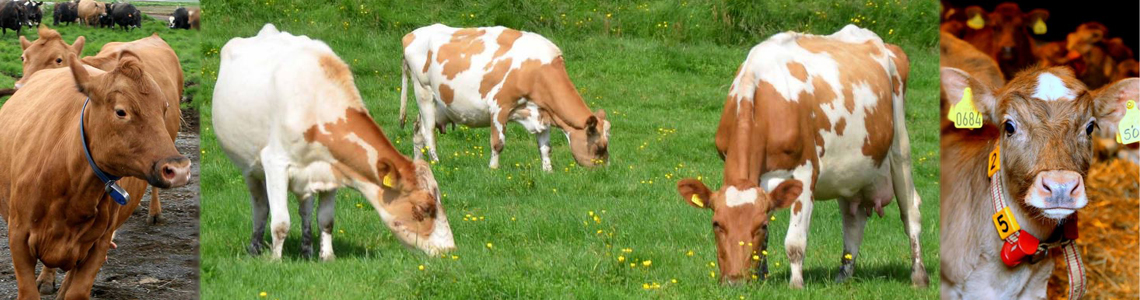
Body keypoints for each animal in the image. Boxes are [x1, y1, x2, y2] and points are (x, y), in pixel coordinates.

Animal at [0, 50, 190, 298]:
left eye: (164, 109)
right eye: (121, 111)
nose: (179, 169)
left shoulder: (99, 245)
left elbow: (76, 291)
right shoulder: (18, 237)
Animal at [214, 23, 453, 260]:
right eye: (424, 208)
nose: (449, 250)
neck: (317, 103)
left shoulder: (331, 171)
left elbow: (326, 220)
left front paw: (327, 257)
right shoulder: (275, 164)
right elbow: (281, 223)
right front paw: (275, 261)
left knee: (305, 207)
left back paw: (307, 250)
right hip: (250, 168)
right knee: (261, 207)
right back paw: (255, 248)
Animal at [403, 24, 615, 172]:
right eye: (599, 147)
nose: (604, 171)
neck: (536, 71)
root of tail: (410, 35)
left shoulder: (542, 111)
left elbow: (545, 148)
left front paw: (548, 171)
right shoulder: (499, 106)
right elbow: (498, 143)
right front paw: (493, 169)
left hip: (439, 104)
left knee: (417, 129)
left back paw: (418, 163)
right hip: (423, 92)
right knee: (428, 131)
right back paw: (435, 161)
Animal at [674, 24, 925, 288]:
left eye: (760, 225)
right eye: (716, 224)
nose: (735, 281)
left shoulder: (805, 171)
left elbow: (794, 242)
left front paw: (795, 284)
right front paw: (761, 277)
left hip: (900, 148)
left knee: (911, 212)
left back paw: (918, 276)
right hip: (852, 173)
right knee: (853, 221)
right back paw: (843, 276)